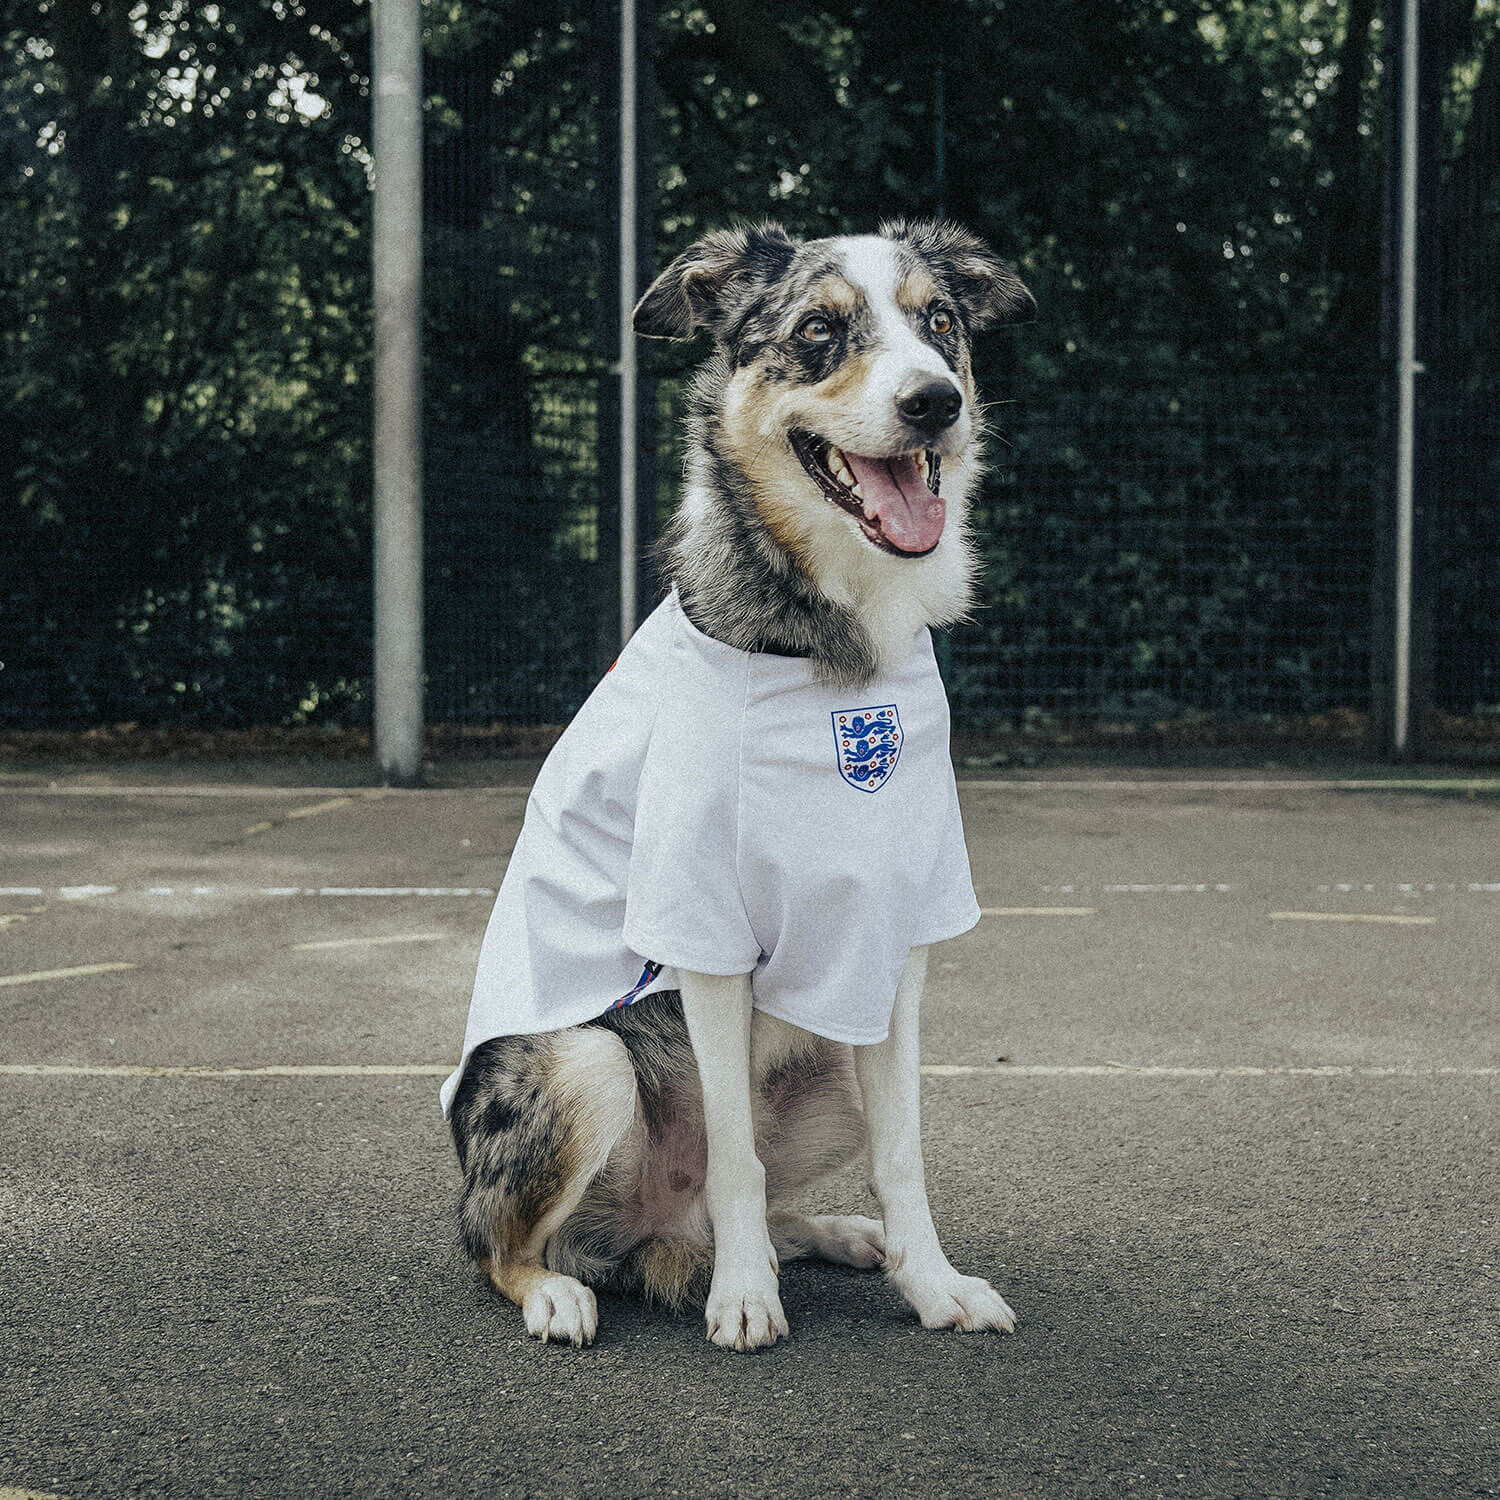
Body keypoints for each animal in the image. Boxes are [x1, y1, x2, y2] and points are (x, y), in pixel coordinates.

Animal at [438, 214, 1038, 1350]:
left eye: (941, 321)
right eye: (818, 331)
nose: (934, 401)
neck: (827, 650)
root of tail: (646, 1239)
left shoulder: (896, 944)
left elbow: (902, 1154)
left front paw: (932, 1284)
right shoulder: (705, 933)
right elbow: (735, 1156)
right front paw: (746, 1300)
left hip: (835, 1059)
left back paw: (843, 1236)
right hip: (582, 1067)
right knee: (500, 1242)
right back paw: (561, 1290)